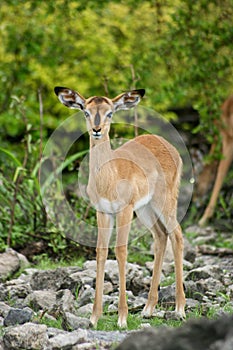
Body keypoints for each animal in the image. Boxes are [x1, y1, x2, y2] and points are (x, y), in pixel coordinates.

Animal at [54, 87, 186, 328]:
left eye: (110, 113)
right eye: (85, 111)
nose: (97, 130)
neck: (109, 177)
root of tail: (169, 146)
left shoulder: (124, 210)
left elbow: (121, 251)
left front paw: (122, 317)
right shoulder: (103, 212)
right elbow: (101, 252)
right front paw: (94, 317)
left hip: (164, 202)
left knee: (177, 235)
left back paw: (180, 309)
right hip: (146, 209)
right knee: (161, 237)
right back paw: (148, 309)